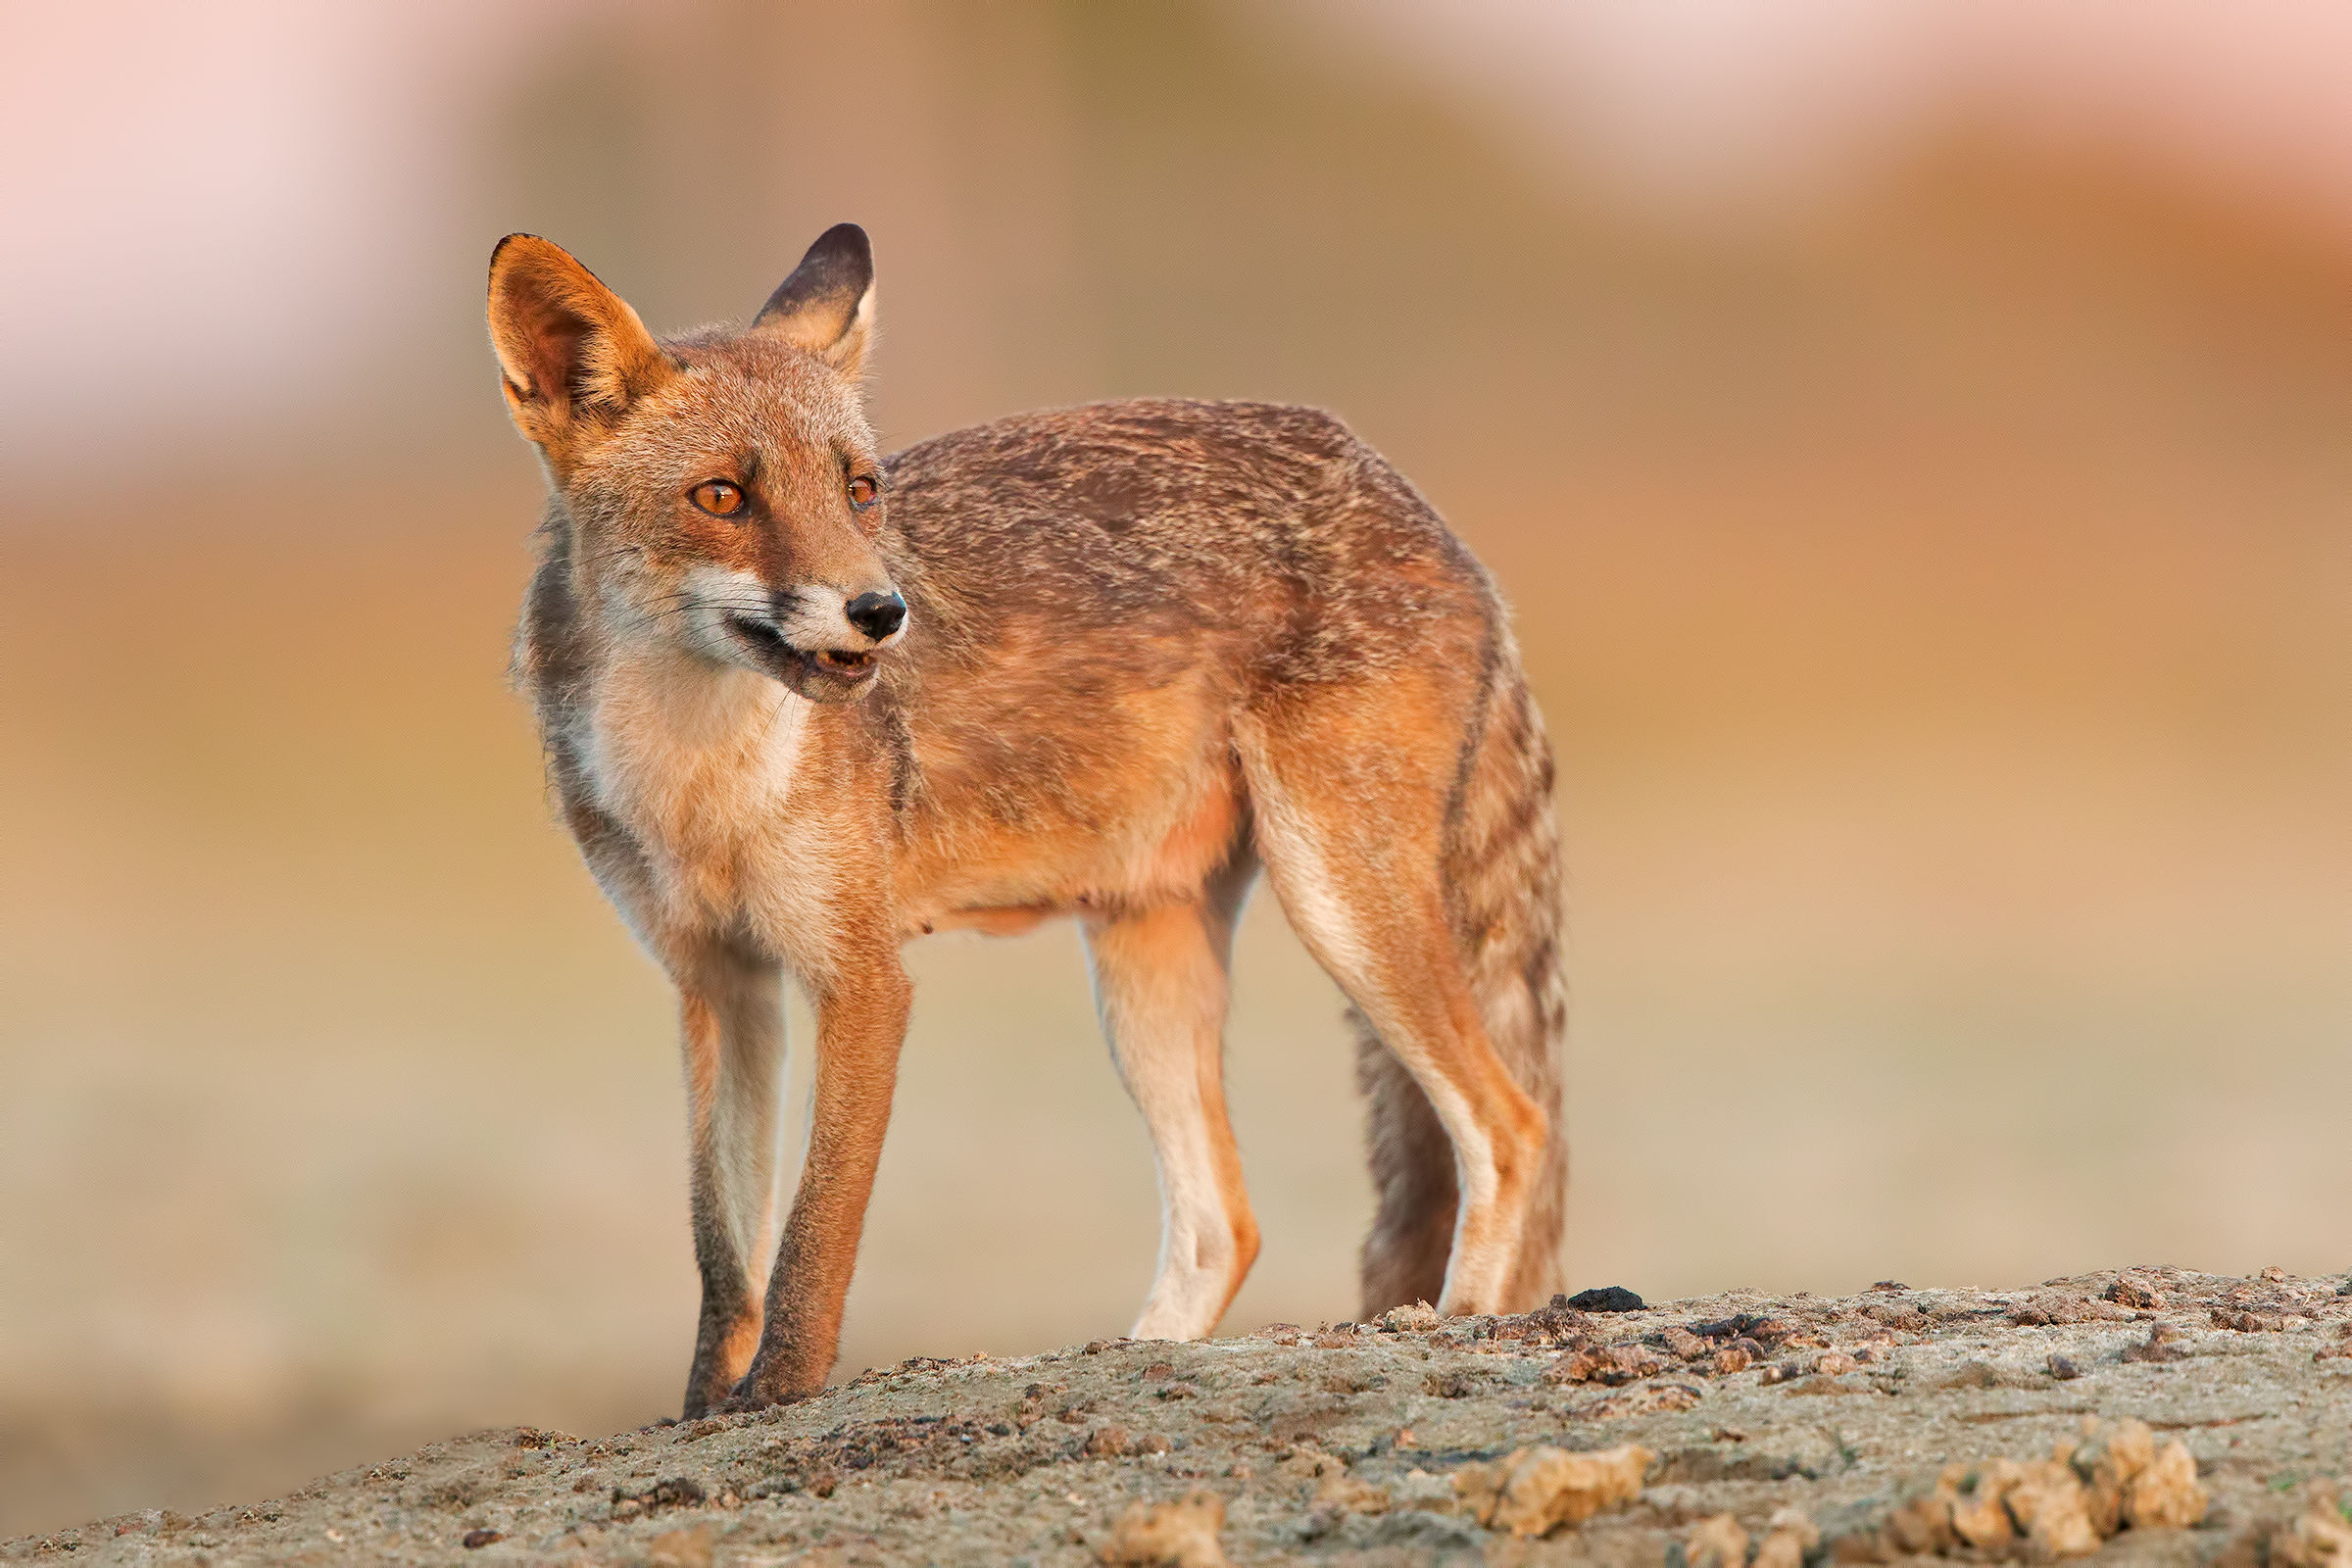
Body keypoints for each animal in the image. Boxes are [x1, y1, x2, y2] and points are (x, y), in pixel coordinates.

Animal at [486, 223, 1568, 1415]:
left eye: (859, 489)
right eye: (722, 497)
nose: (881, 612)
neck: (696, 784)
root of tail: (1422, 508)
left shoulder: (862, 979)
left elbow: (813, 1244)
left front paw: (776, 1400)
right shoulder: (721, 984)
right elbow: (726, 1259)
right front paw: (703, 1412)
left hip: (1337, 902)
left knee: (1513, 1128)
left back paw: (1461, 1321)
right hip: (1146, 964)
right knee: (1223, 1227)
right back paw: (1143, 1354)